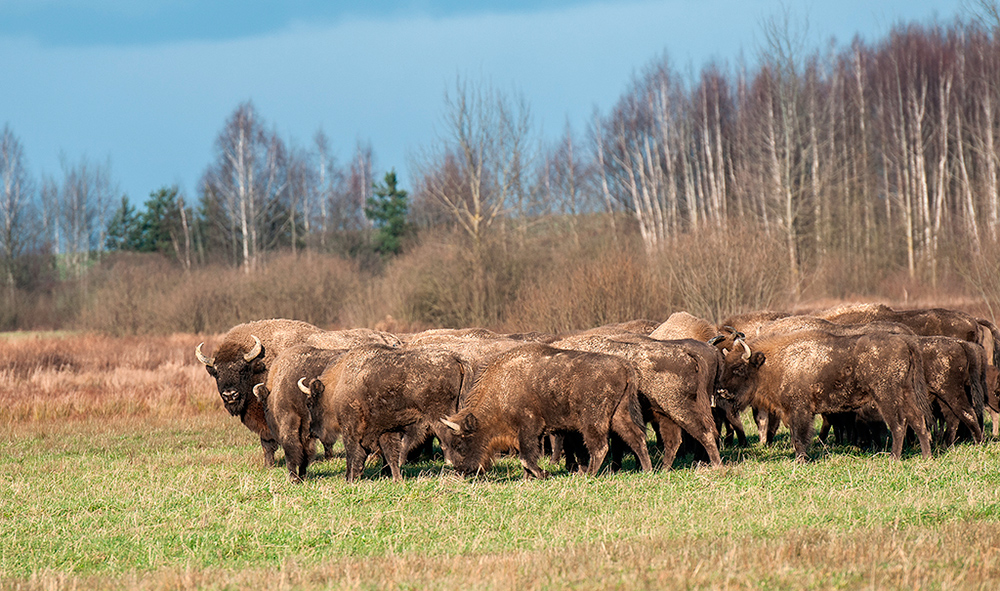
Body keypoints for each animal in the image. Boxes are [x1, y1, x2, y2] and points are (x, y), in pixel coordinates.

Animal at [306, 344, 474, 484]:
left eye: (310, 403)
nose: (312, 431)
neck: (338, 383)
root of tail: (456, 360)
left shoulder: (351, 429)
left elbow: (353, 453)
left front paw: (350, 478)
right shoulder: (386, 430)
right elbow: (390, 454)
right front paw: (396, 478)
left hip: (441, 418)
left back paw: (459, 473)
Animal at [438, 344, 648, 478]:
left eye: (460, 444)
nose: (461, 471)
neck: (503, 385)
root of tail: (625, 365)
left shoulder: (529, 428)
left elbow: (526, 457)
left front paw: (542, 474)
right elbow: (526, 456)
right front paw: (528, 478)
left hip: (593, 420)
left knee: (600, 447)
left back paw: (588, 475)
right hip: (619, 415)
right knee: (637, 439)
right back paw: (647, 470)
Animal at [552, 336, 724, 470]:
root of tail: (686, 354)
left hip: (680, 409)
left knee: (704, 432)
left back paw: (716, 466)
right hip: (667, 414)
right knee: (674, 441)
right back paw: (662, 469)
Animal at [716, 328, 932, 462]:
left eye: (739, 368)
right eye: (725, 366)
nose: (721, 391)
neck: (775, 362)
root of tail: (905, 343)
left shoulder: (800, 410)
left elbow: (799, 437)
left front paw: (801, 461)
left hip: (886, 396)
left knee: (899, 424)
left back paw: (894, 458)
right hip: (907, 393)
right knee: (918, 421)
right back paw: (926, 457)